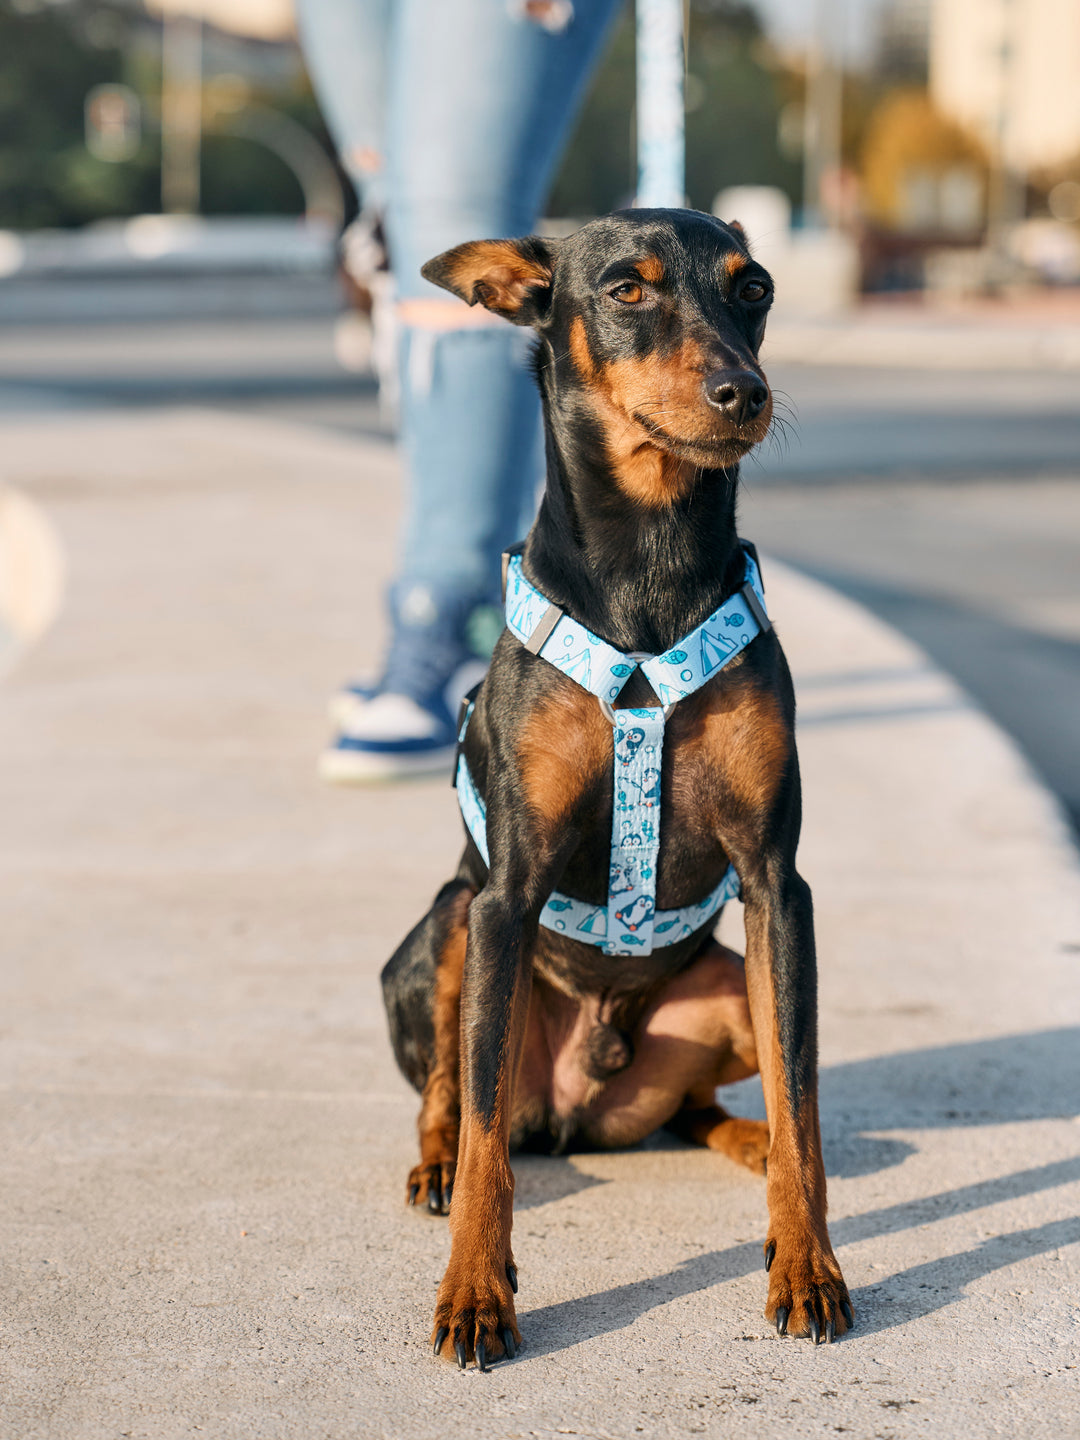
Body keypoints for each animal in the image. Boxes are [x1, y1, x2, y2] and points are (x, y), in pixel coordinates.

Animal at [380, 208, 852, 1365]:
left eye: (756, 287)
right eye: (627, 290)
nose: (743, 392)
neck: (649, 567)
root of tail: (576, 1111)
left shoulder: (778, 886)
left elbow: (805, 1101)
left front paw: (807, 1265)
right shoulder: (506, 894)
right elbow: (487, 1146)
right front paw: (475, 1294)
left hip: (725, 984)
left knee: (717, 1102)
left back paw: (743, 1137)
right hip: (446, 929)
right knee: (461, 1097)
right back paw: (433, 1161)